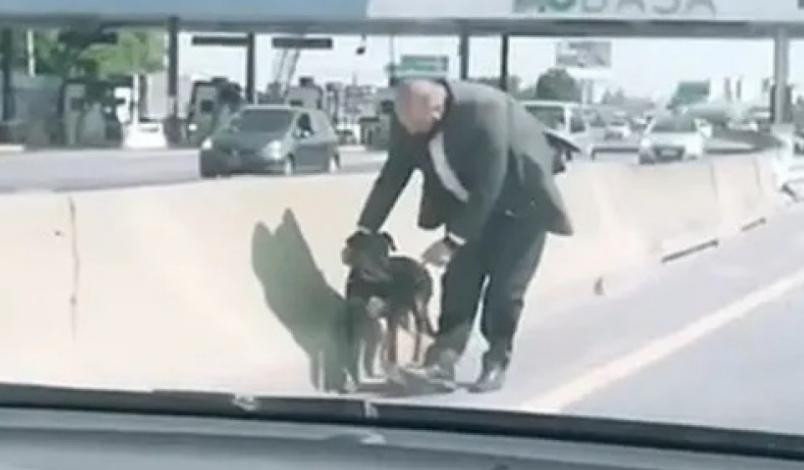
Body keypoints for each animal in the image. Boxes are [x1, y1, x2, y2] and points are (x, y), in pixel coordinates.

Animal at [342, 231, 436, 386]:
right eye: (369, 248)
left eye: (386, 250)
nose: (386, 268)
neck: (372, 284)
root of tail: (422, 267)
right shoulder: (358, 317)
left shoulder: (391, 316)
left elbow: (393, 348)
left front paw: (393, 373)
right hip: (403, 315)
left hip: (417, 306)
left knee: (418, 332)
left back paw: (415, 360)